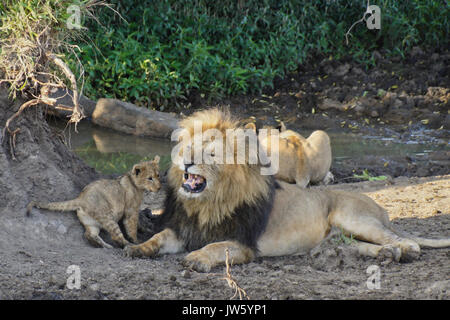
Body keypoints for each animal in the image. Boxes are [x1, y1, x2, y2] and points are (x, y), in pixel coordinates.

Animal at [124, 109, 450, 272]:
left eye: (212, 154)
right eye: (188, 148)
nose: (187, 161)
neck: (207, 203)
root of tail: (381, 208)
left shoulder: (244, 244)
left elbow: (216, 247)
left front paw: (196, 259)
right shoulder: (183, 229)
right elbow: (158, 238)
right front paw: (137, 248)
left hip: (354, 218)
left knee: (408, 242)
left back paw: (404, 253)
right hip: (345, 237)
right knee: (370, 246)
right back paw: (387, 255)